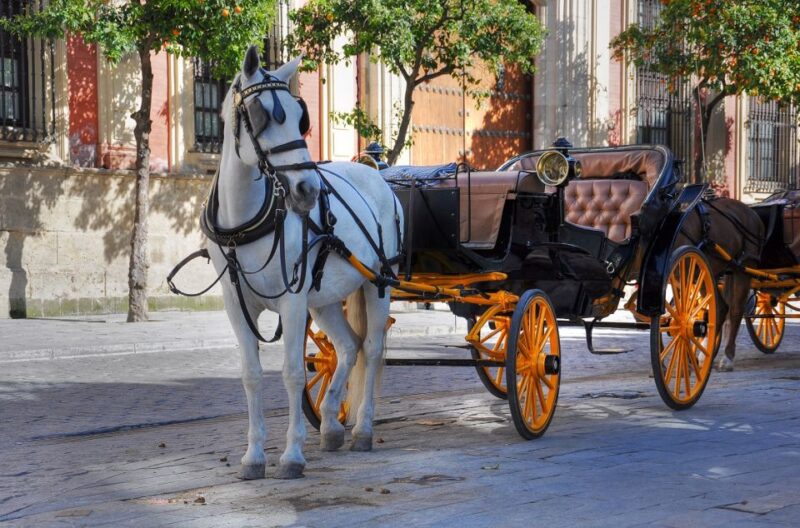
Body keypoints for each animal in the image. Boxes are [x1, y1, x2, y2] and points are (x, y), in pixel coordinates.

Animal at [205, 46, 402, 480]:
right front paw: (254, 456)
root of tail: (376, 174)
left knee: (372, 348)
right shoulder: (236, 305)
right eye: (260, 113)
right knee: (347, 347)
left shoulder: (292, 301)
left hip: (378, 282)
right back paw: (330, 424)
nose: (307, 189)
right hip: (325, 298)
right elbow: (252, 375)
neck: (245, 221)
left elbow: (293, 373)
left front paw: (292, 454)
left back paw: (362, 430)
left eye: (301, 117)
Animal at [676, 196, 764, 371]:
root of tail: (752, 212)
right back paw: (704, 354)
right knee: (720, 308)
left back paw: (727, 357)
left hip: (744, 268)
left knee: (735, 310)